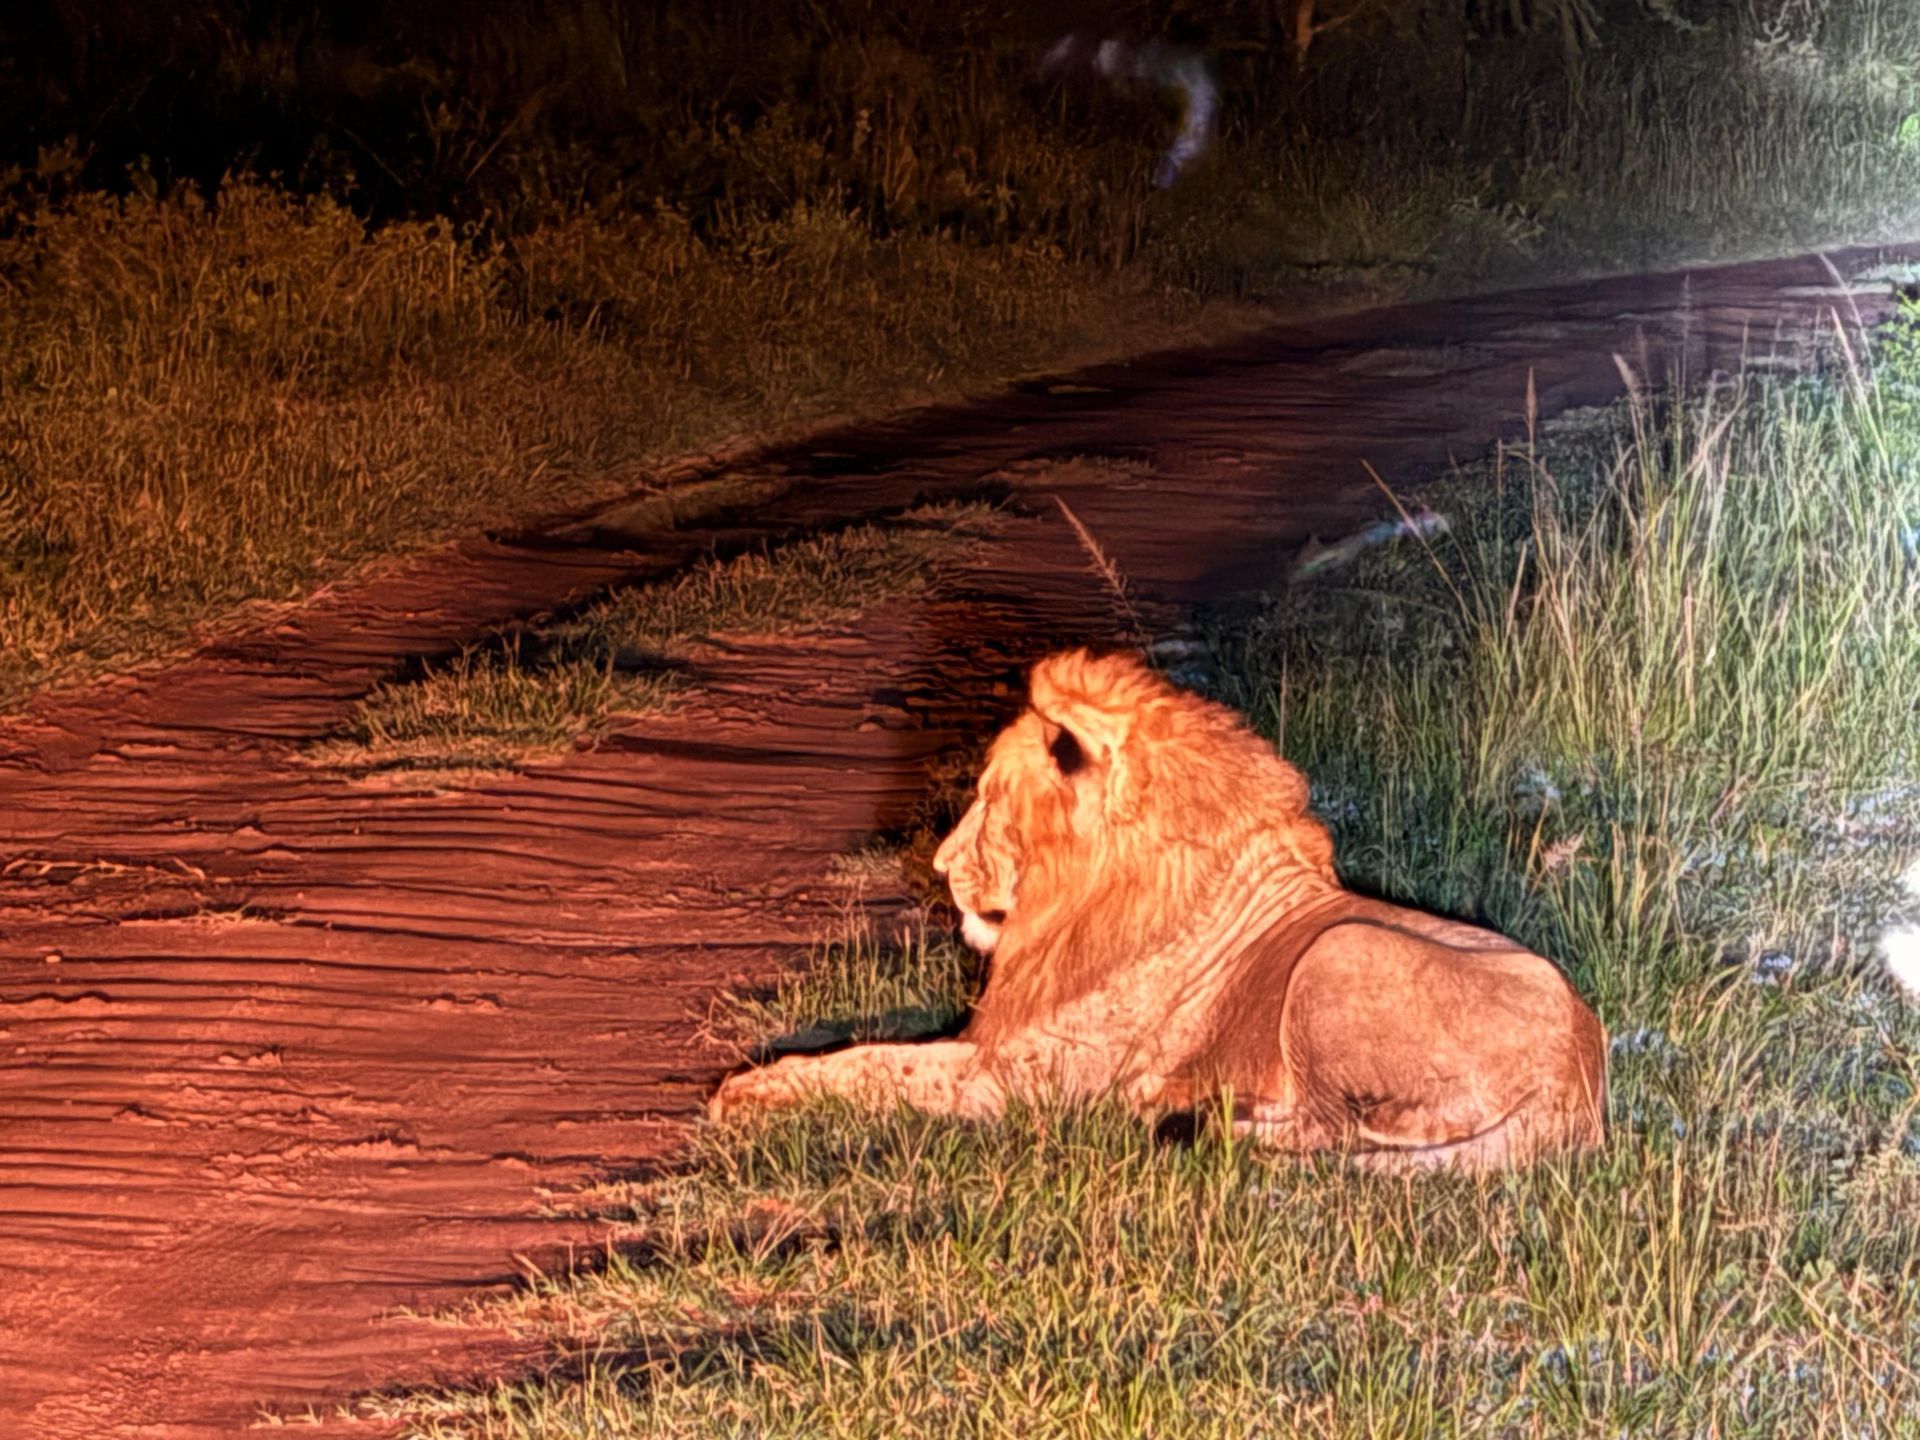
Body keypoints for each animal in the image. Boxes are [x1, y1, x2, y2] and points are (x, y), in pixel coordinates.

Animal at [711, 649, 1608, 1172]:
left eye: (991, 799)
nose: (937, 867)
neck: (1085, 899)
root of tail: (1584, 1081)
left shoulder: (1021, 1080)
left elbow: (874, 1066)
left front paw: (744, 1094)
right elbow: (870, 1048)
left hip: (1340, 954)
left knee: (1334, 1134)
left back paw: (1181, 1114)